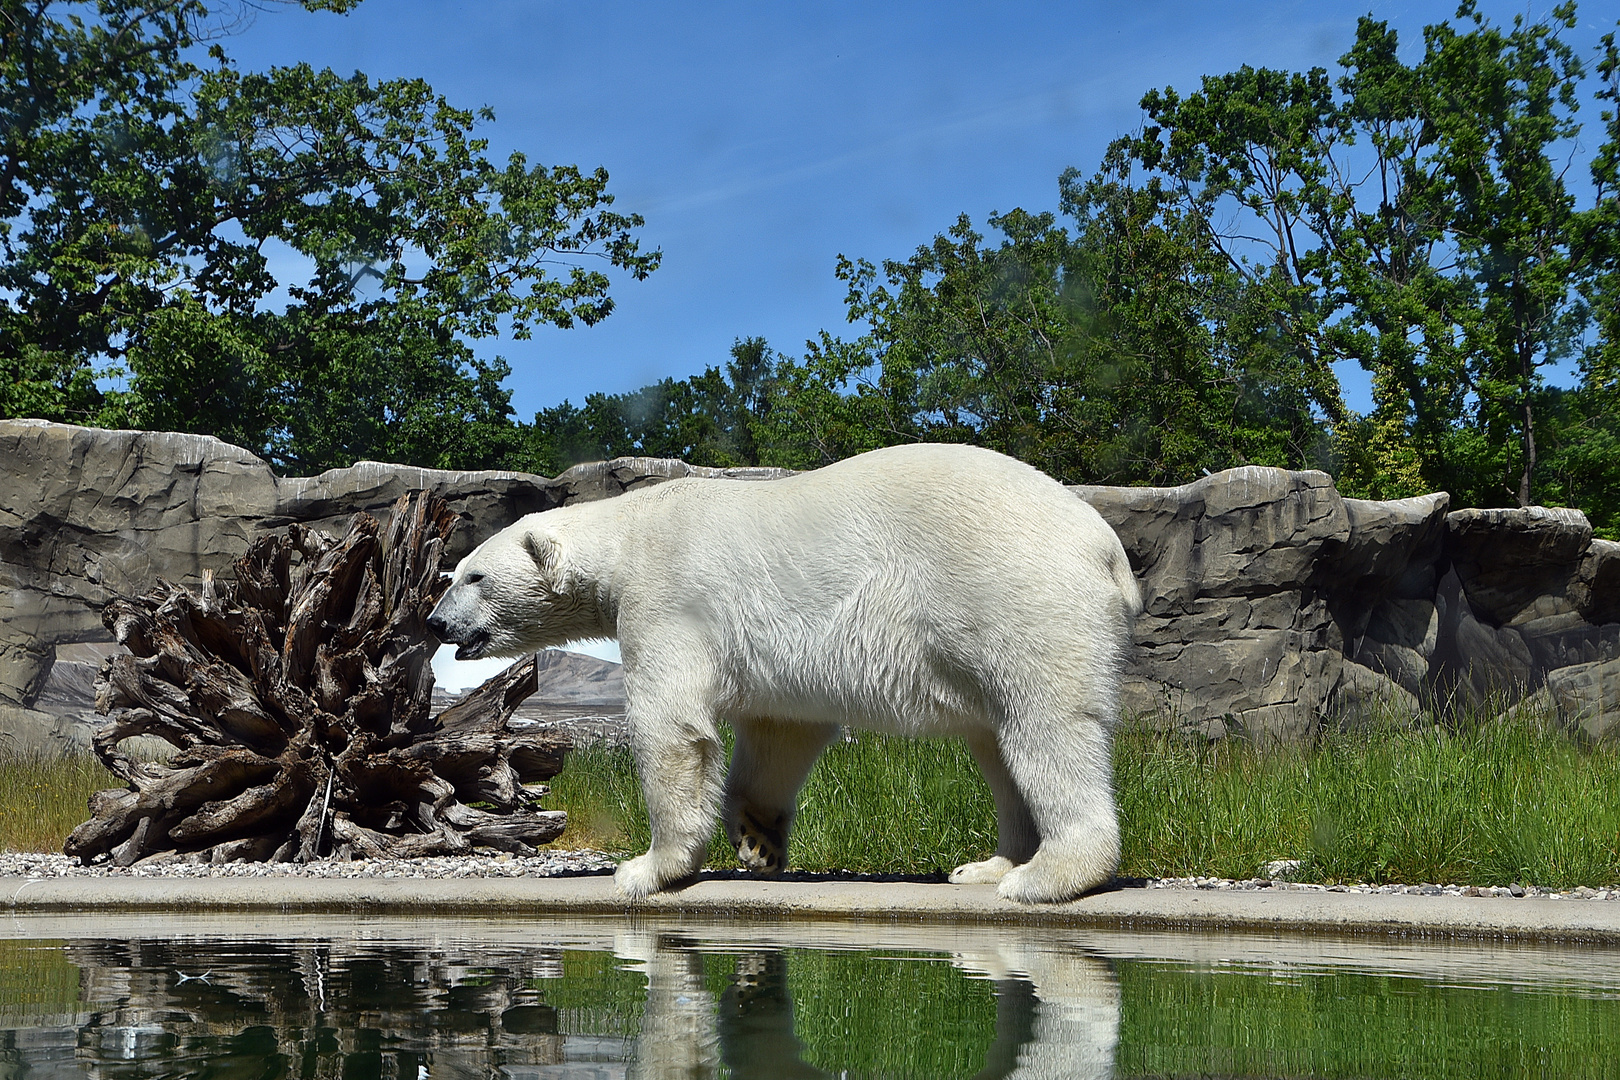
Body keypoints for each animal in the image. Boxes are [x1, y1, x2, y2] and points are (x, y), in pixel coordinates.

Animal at [424, 440, 1146, 906]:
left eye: (472, 576)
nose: (435, 624)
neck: (631, 529)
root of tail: (1106, 548)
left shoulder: (666, 597)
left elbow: (672, 729)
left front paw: (648, 869)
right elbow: (782, 731)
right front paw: (758, 842)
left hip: (1013, 596)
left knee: (1045, 728)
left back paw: (1043, 877)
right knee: (996, 742)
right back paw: (988, 866)